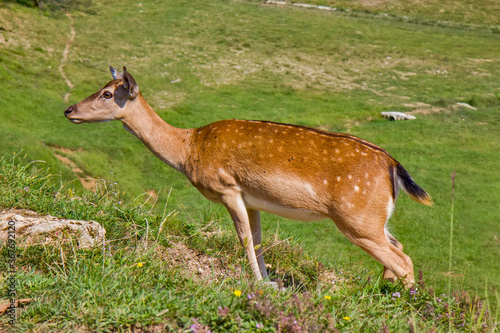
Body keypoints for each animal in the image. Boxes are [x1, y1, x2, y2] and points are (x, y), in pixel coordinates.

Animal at [64, 66, 432, 284]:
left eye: (107, 93)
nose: (68, 110)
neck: (189, 149)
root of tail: (392, 166)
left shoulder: (227, 187)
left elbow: (242, 238)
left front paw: (256, 282)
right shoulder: (254, 200)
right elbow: (257, 239)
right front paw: (269, 281)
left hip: (356, 218)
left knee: (403, 260)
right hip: (375, 219)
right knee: (398, 247)